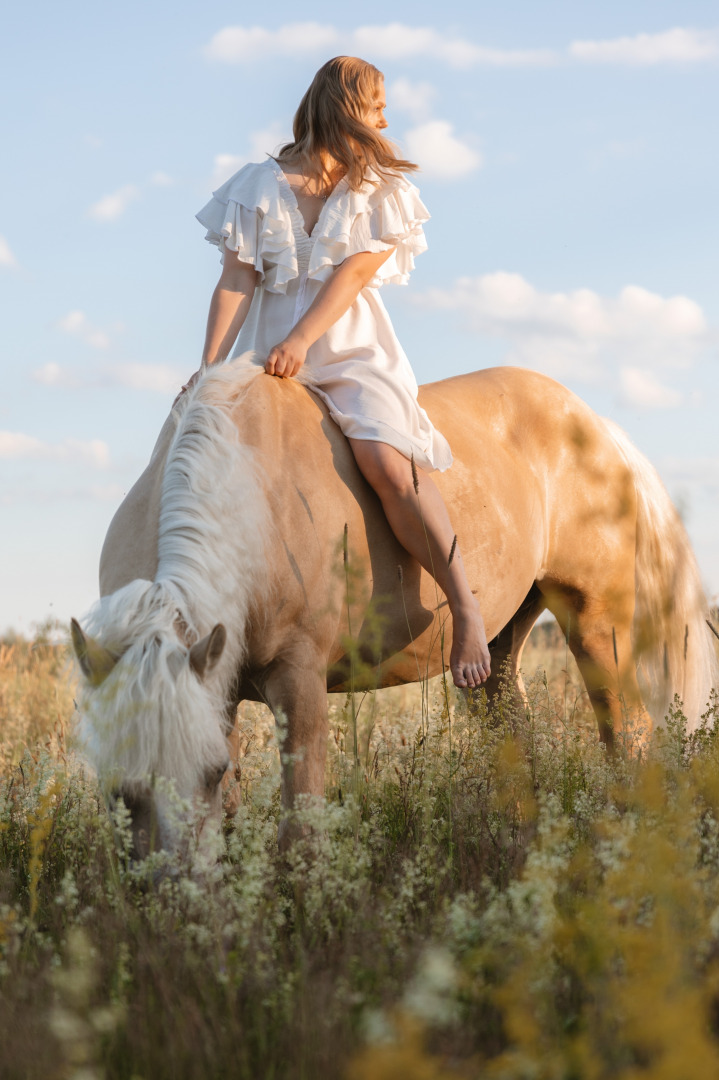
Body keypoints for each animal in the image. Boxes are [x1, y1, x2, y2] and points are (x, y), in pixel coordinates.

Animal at [71, 358, 716, 855]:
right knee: (515, 734)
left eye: (205, 774)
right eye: (117, 786)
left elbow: (302, 828)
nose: (172, 896)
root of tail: (595, 426)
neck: (246, 495)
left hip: (596, 623)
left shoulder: (298, 684)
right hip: (504, 645)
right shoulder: (218, 687)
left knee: (628, 734)